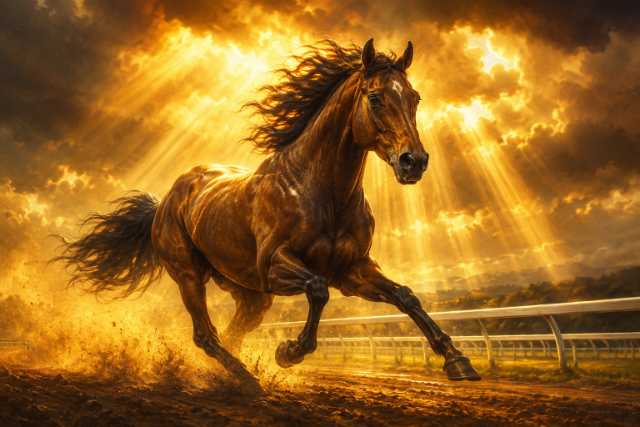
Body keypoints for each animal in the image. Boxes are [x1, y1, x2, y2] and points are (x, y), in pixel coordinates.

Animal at [56, 39, 480, 390]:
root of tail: (163, 203)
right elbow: (318, 290)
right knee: (205, 334)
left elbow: (406, 296)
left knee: (230, 332)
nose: (414, 162)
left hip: (250, 295)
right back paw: (246, 378)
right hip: (190, 275)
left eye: (414, 97)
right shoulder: (277, 264)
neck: (322, 193)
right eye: (375, 98)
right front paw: (288, 351)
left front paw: (458, 361)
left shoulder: (353, 269)